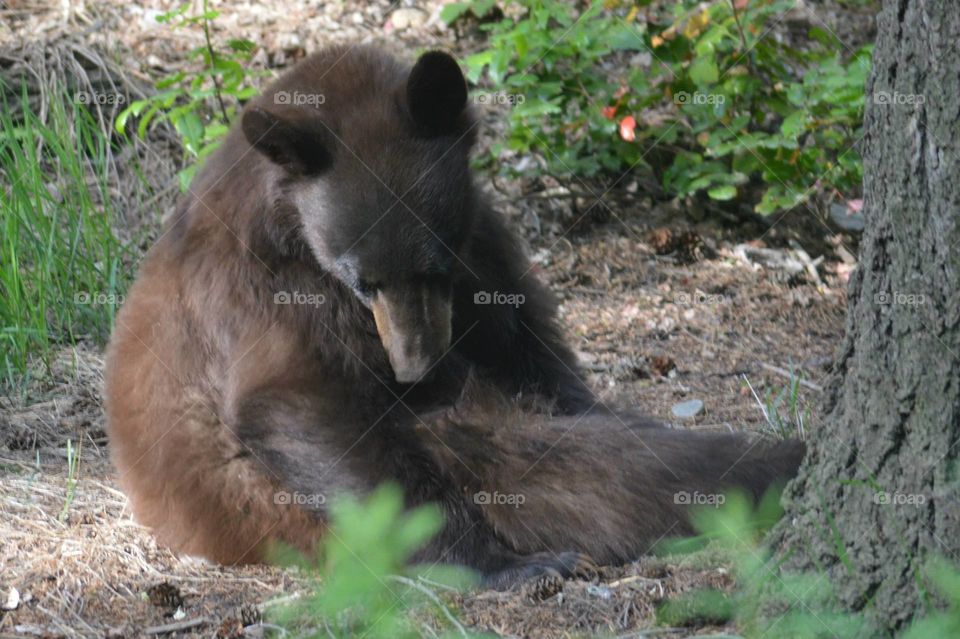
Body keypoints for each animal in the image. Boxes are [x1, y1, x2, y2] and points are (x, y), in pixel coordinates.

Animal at [105, 45, 804, 589]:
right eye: (363, 282)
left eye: (434, 268)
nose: (415, 368)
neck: (286, 223)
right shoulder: (263, 293)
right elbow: (293, 400)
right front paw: (497, 563)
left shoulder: (482, 246)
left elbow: (529, 344)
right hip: (302, 501)